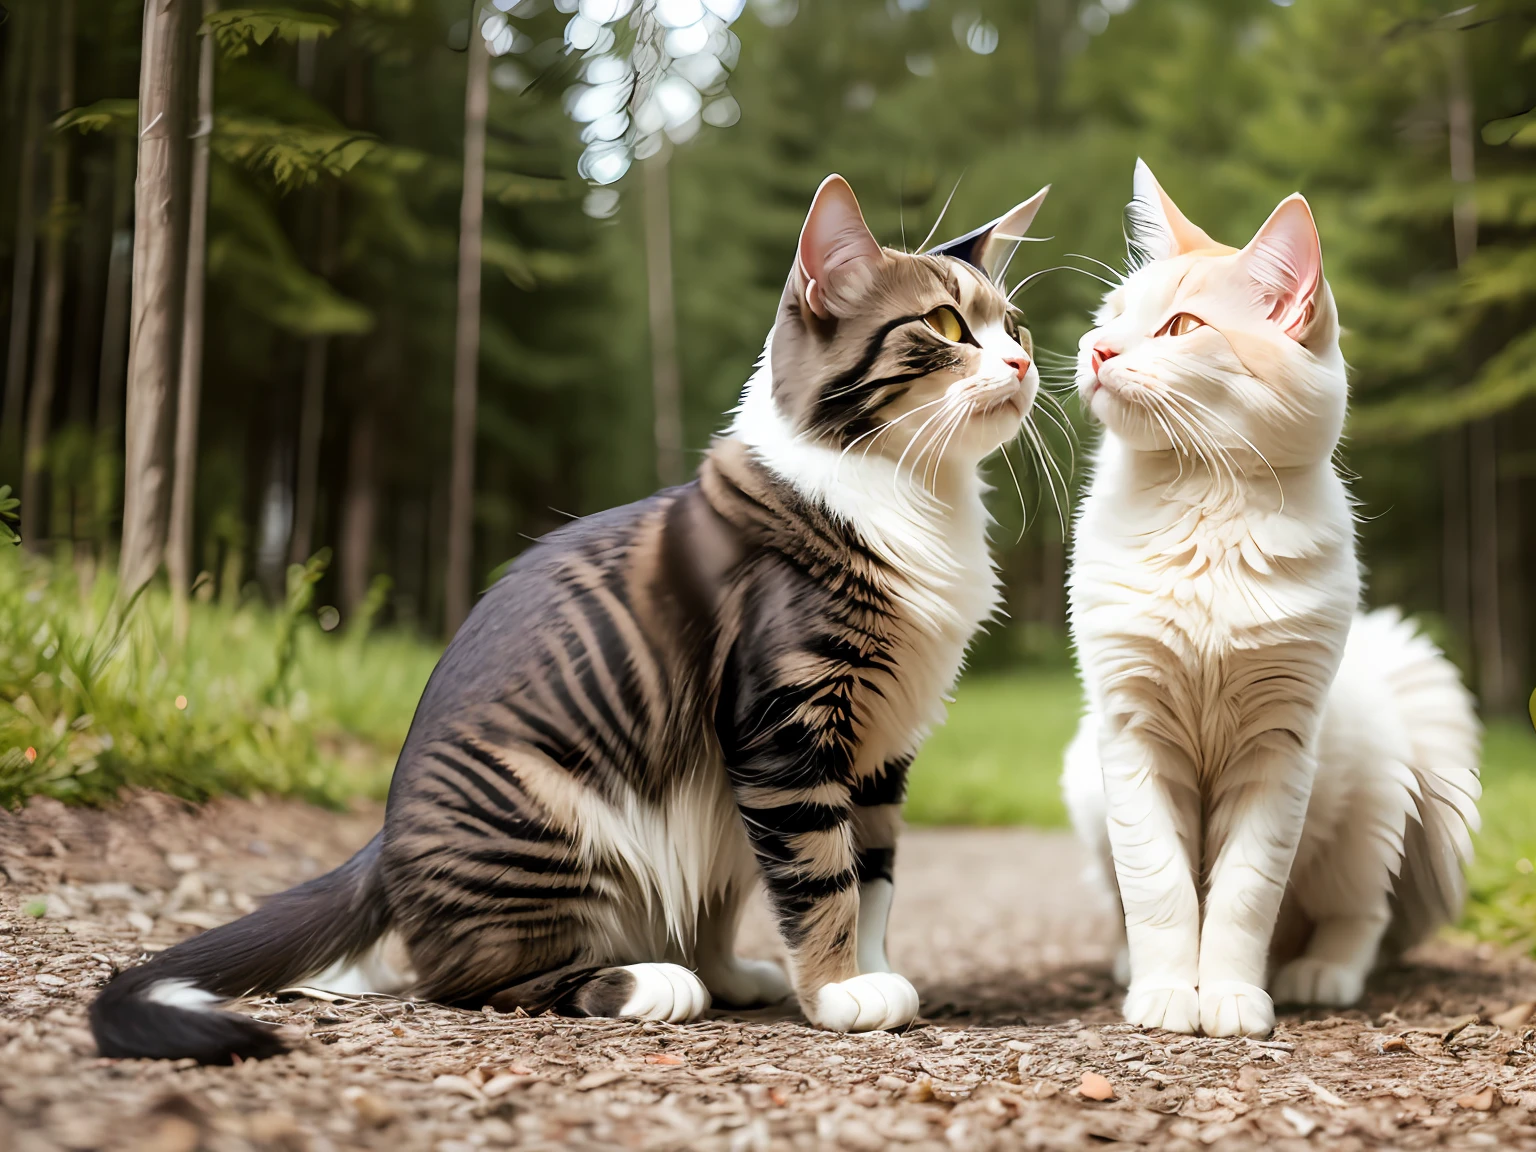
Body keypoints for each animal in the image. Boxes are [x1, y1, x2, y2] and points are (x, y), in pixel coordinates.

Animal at [96, 173, 1050, 1062]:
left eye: (1015, 327)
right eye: (947, 325)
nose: (1023, 365)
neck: (914, 496)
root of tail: (383, 845)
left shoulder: (884, 746)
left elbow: (875, 873)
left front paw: (874, 972)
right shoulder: (785, 726)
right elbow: (822, 875)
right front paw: (841, 993)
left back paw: (730, 973)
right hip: (547, 814)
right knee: (471, 978)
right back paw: (653, 982)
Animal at [1062, 160, 1480, 1038]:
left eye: (1182, 327)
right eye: (1112, 317)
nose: (1099, 350)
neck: (1202, 510)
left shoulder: (1277, 749)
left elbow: (1240, 899)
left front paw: (1228, 996)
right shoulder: (1131, 735)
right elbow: (1159, 892)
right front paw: (1165, 994)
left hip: (1365, 818)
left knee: (1360, 921)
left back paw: (1317, 975)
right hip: (1086, 785)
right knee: (1121, 905)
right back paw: (1128, 968)